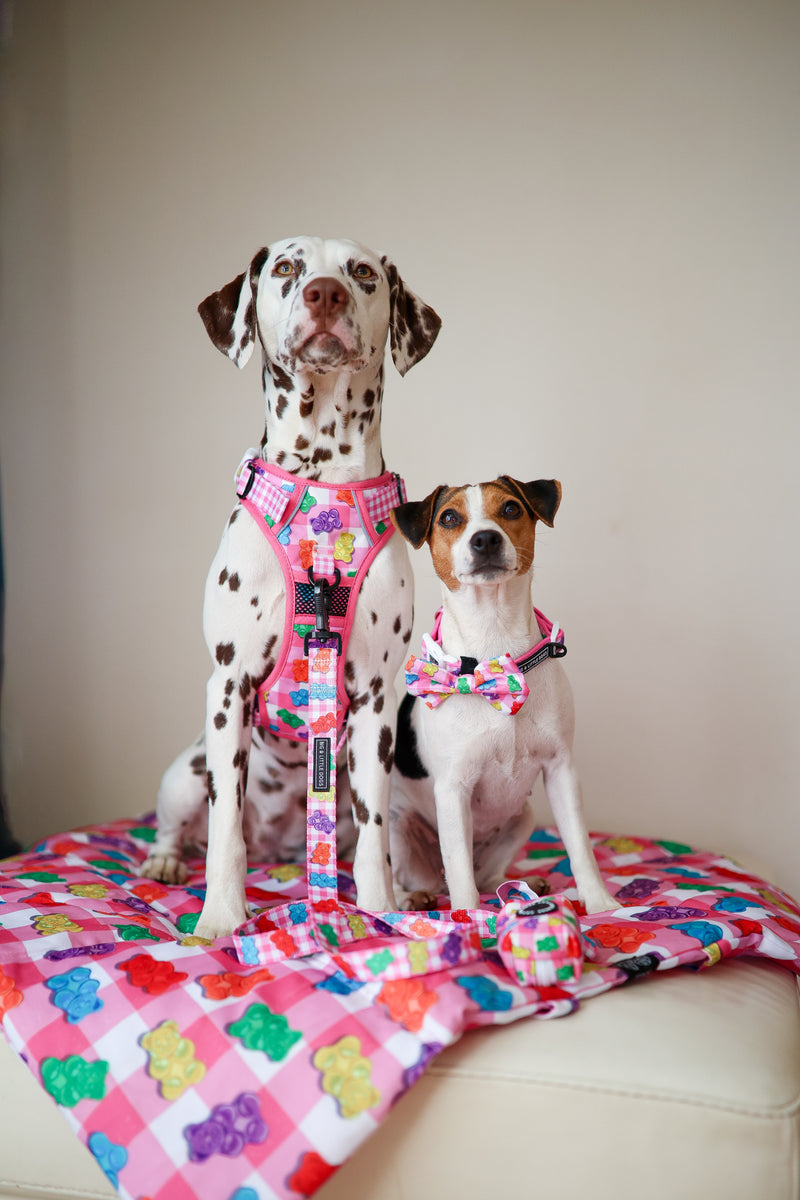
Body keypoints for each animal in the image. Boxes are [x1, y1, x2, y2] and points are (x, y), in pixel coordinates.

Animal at [143, 236, 443, 936]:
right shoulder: (229, 686)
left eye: (362, 273)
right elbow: (225, 831)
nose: (324, 293)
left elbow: (374, 832)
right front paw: (221, 917)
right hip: (187, 772)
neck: (322, 494)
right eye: (285, 267)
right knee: (183, 827)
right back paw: (166, 861)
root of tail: (281, 840)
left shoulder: (375, 701)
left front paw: (381, 909)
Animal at [391, 472, 618, 912]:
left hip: (522, 818)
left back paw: (518, 884)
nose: (485, 539)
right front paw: (467, 917)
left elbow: (580, 846)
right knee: (427, 875)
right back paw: (412, 897)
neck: (495, 656)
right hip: (398, 825)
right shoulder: (453, 788)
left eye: (511, 508)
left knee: (487, 875)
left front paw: (600, 903)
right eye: (449, 518)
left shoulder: (561, 771)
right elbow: (459, 869)